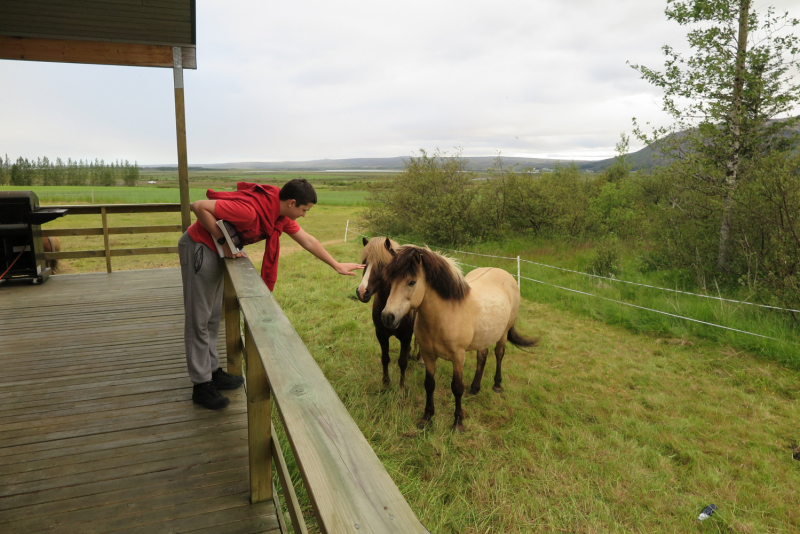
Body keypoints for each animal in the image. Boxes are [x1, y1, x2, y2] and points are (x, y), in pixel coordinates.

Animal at [358, 238, 416, 390]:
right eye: (364, 262)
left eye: (382, 264)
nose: (361, 291)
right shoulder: (381, 334)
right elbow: (385, 359)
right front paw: (386, 384)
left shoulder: (406, 337)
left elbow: (402, 362)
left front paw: (402, 387)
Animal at [382, 246, 536, 432]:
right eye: (390, 280)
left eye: (411, 282)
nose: (387, 317)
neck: (446, 314)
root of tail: (506, 275)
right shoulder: (428, 355)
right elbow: (429, 384)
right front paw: (427, 417)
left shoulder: (458, 357)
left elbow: (457, 387)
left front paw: (458, 423)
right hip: (484, 336)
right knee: (482, 356)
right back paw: (475, 388)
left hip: (504, 333)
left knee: (499, 354)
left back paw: (497, 385)